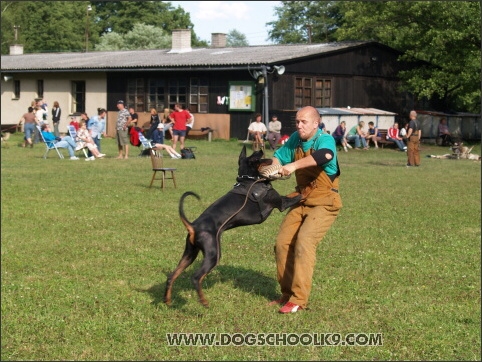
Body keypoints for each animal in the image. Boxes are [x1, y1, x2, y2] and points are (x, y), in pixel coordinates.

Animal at [166, 144, 302, 306]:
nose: (261, 148)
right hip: (213, 254)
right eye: (255, 156)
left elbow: (294, 193)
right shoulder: (281, 204)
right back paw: (203, 301)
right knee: (196, 277)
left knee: (172, 276)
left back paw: (167, 300)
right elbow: (299, 196)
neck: (249, 180)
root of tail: (193, 226)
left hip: (189, 253)